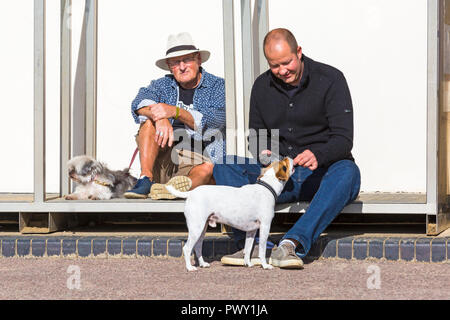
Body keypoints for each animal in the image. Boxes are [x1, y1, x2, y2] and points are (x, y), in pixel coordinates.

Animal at [165, 157, 296, 270]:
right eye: (284, 166)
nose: (289, 157)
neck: (267, 187)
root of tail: (191, 193)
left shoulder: (251, 231)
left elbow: (248, 249)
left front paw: (248, 263)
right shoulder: (265, 226)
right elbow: (262, 250)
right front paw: (265, 265)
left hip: (201, 228)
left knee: (197, 246)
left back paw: (202, 264)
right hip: (196, 228)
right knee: (187, 248)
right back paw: (189, 267)